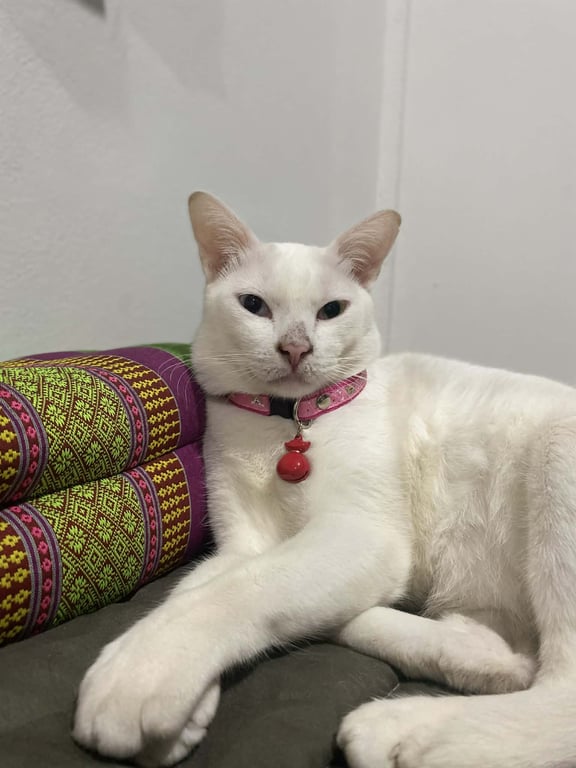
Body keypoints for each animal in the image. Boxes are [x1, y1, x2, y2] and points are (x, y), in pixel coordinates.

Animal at [73, 192, 576, 768]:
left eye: (331, 310)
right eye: (254, 305)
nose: (296, 347)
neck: (284, 426)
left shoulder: (359, 534)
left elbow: (241, 590)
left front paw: (140, 673)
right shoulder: (243, 543)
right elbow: (191, 589)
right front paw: (179, 712)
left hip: (557, 458)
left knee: (558, 691)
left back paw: (400, 730)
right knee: (503, 657)